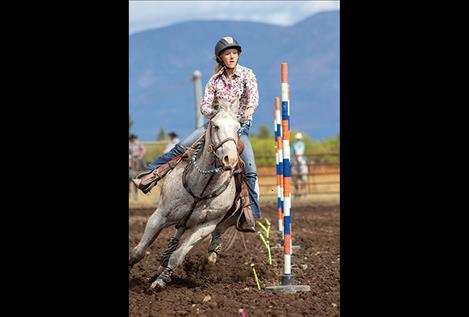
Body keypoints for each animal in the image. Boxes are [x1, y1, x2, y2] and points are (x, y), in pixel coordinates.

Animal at [128, 100, 245, 286]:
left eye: (238, 128)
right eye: (216, 126)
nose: (230, 159)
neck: (201, 187)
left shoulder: (206, 227)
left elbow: (178, 256)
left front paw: (160, 281)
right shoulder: (159, 215)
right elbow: (139, 250)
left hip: (225, 222)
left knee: (214, 238)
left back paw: (208, 259)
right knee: (177, 233)